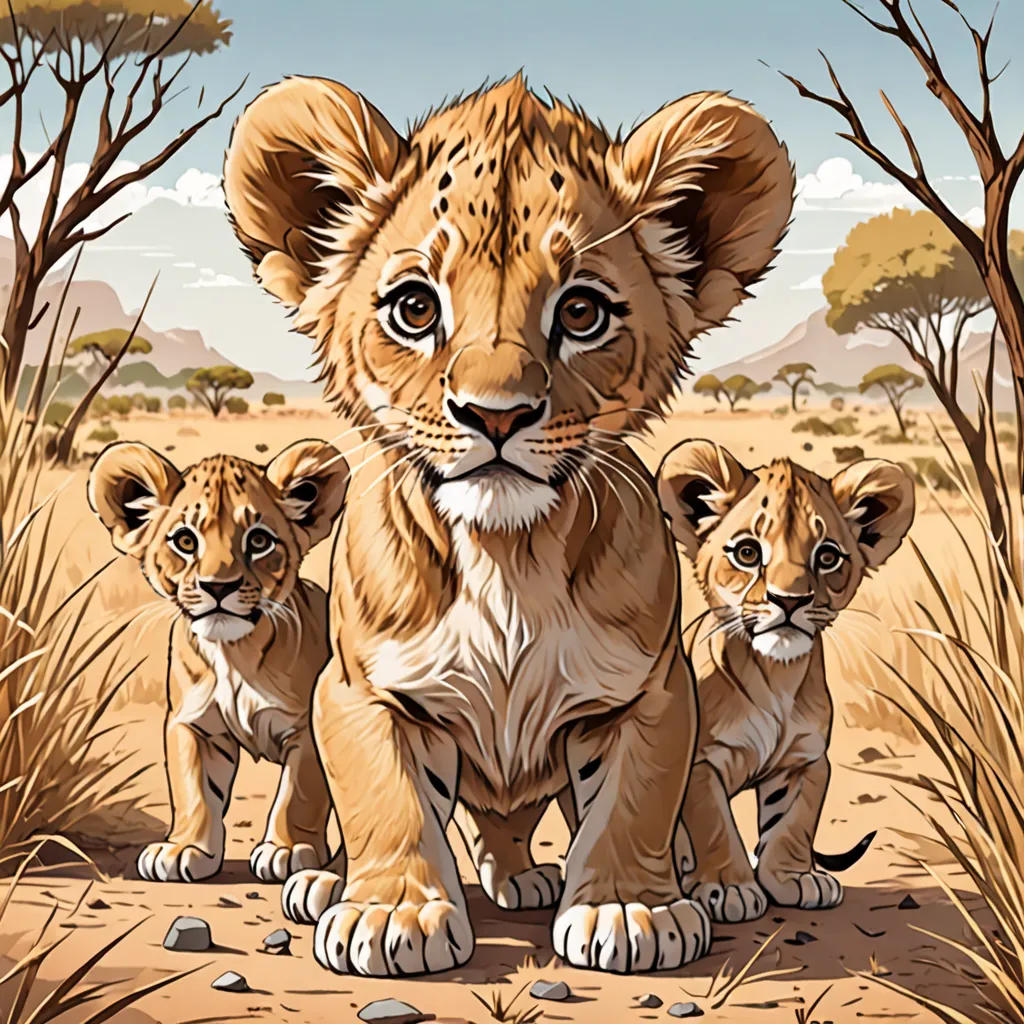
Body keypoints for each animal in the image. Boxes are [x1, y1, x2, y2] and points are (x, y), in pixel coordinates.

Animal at [88, 440, 349, 883]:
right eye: (185, 541)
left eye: (259, 541)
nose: (219, 587)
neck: (232, 654)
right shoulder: (194, 724)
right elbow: (193, 790)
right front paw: (184, 850)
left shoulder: (307, 729)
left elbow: (298, 793)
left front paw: (287, 849)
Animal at [222, 73, 794, 975]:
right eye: (414, 307)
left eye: (583, 312)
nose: (496, 415)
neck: (507, 554)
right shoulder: (359, 691)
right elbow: (388, 796)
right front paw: (392, 914)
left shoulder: (650, 694)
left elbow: (631, 799)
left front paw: (626, 908)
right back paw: (319, 880)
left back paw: (524, 876)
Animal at [657, 441, 915, 923]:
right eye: (747, 553)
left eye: (827, 557)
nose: (790, 601)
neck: (776, 676)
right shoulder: (700, 761)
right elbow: (713, 823)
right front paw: (729, 888)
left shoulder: (806, 759)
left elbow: (793, 822)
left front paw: (794, 878)